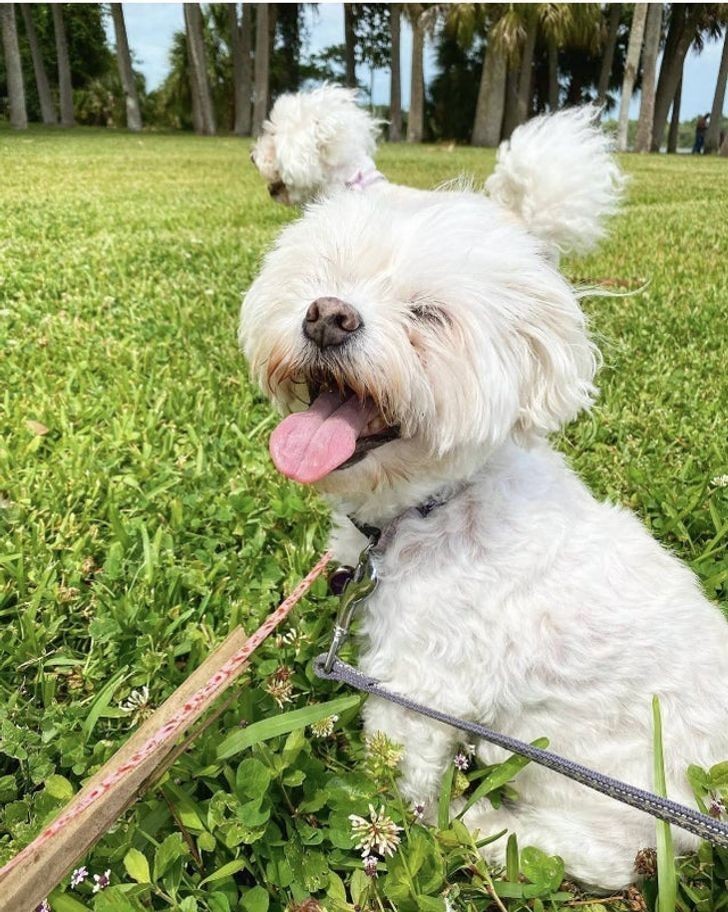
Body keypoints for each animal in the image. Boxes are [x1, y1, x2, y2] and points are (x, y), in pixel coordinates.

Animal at [240, 108, 728, 892]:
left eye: (428, 314)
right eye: (321, 274)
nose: (327, 316)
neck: (432, 507)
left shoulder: (419, 683)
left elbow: (397, 771)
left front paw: (393, 826)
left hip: (621, 804)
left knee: (591, 851)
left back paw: (482, 829)